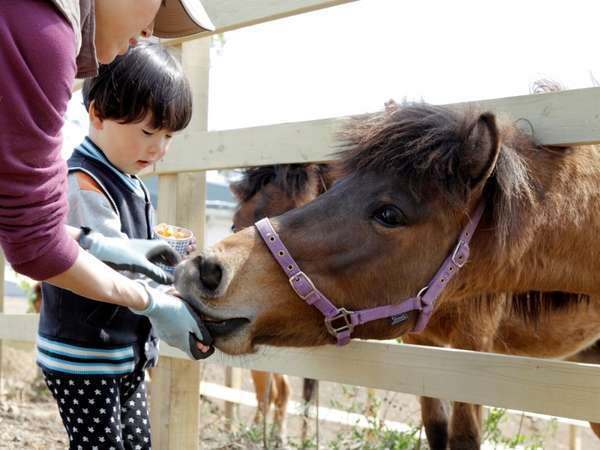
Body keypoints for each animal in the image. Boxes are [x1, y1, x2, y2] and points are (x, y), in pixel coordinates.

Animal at [227, 161, 600, 446]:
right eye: (234, 222)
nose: (220, 272)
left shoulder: (474, 347)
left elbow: (465, 435)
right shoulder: (421, 342)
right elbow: (435, 428)